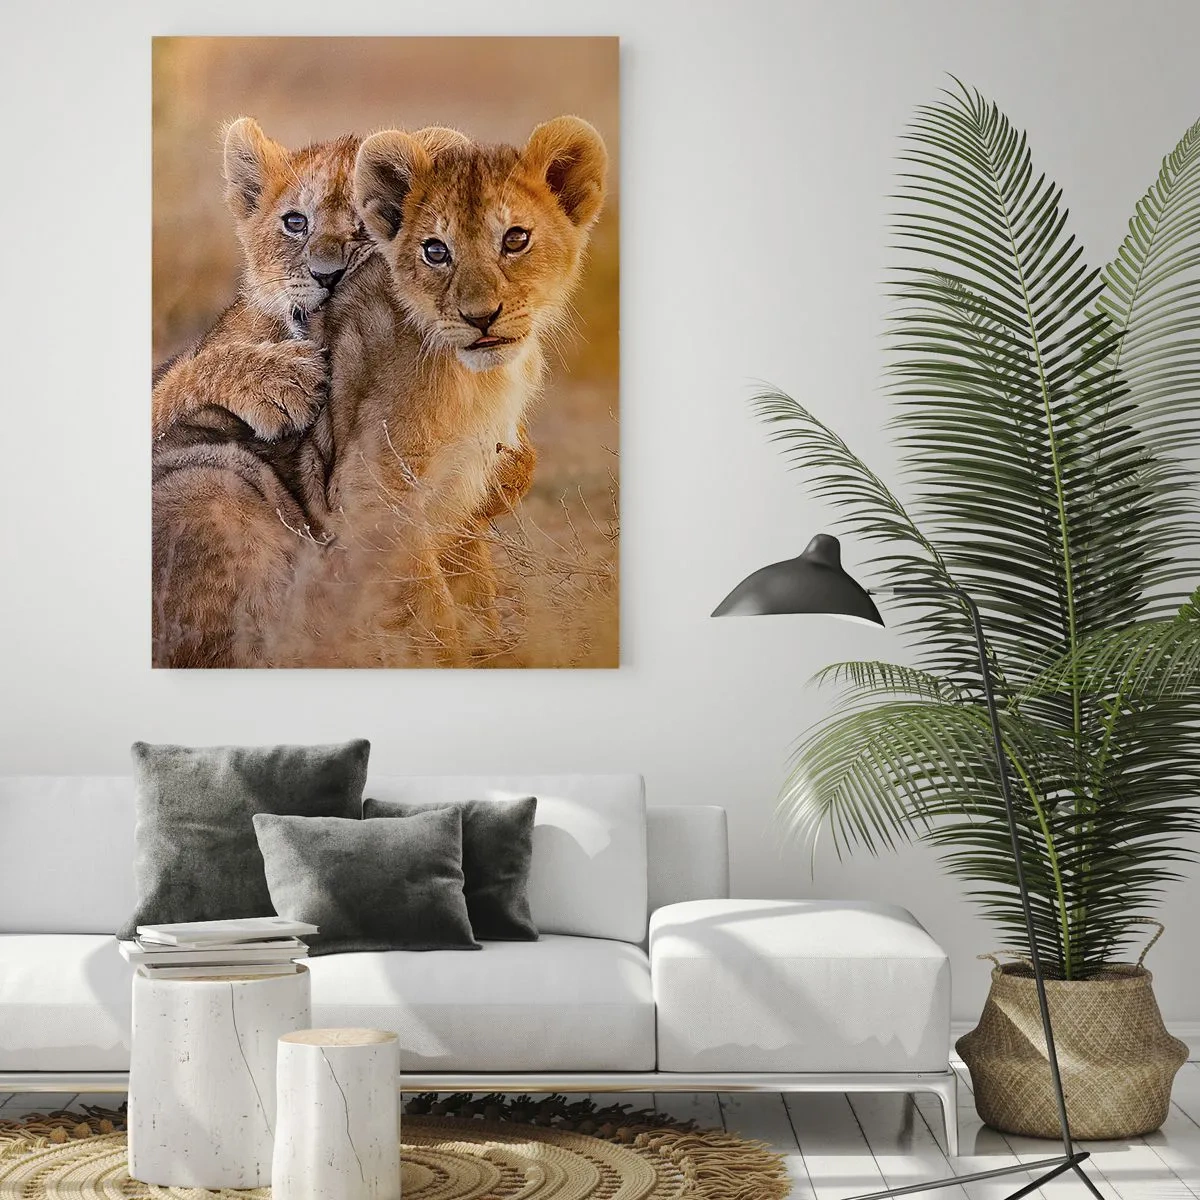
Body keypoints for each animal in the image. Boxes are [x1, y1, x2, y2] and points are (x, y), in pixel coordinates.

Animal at [310, 116, 607, 664]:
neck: (480, 379)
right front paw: (448, 655)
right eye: (435, 251)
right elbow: (427, 599)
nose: (480, 317)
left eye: (515, 239)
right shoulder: (369, 489)